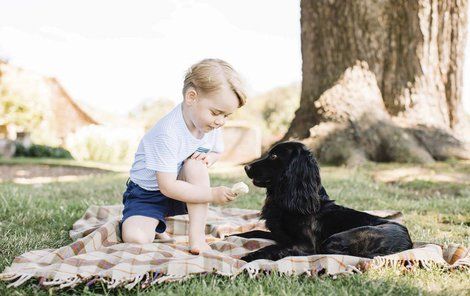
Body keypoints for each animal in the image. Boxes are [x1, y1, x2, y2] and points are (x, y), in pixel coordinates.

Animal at [235, 141, 412, 262]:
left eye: (274, 156)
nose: (246, 167)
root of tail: (408, 243)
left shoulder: (305, 245)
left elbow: (273, 247)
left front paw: (249, 256)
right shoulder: (279, 234)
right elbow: (253, 232)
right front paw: (233, 235)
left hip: (338, 238)